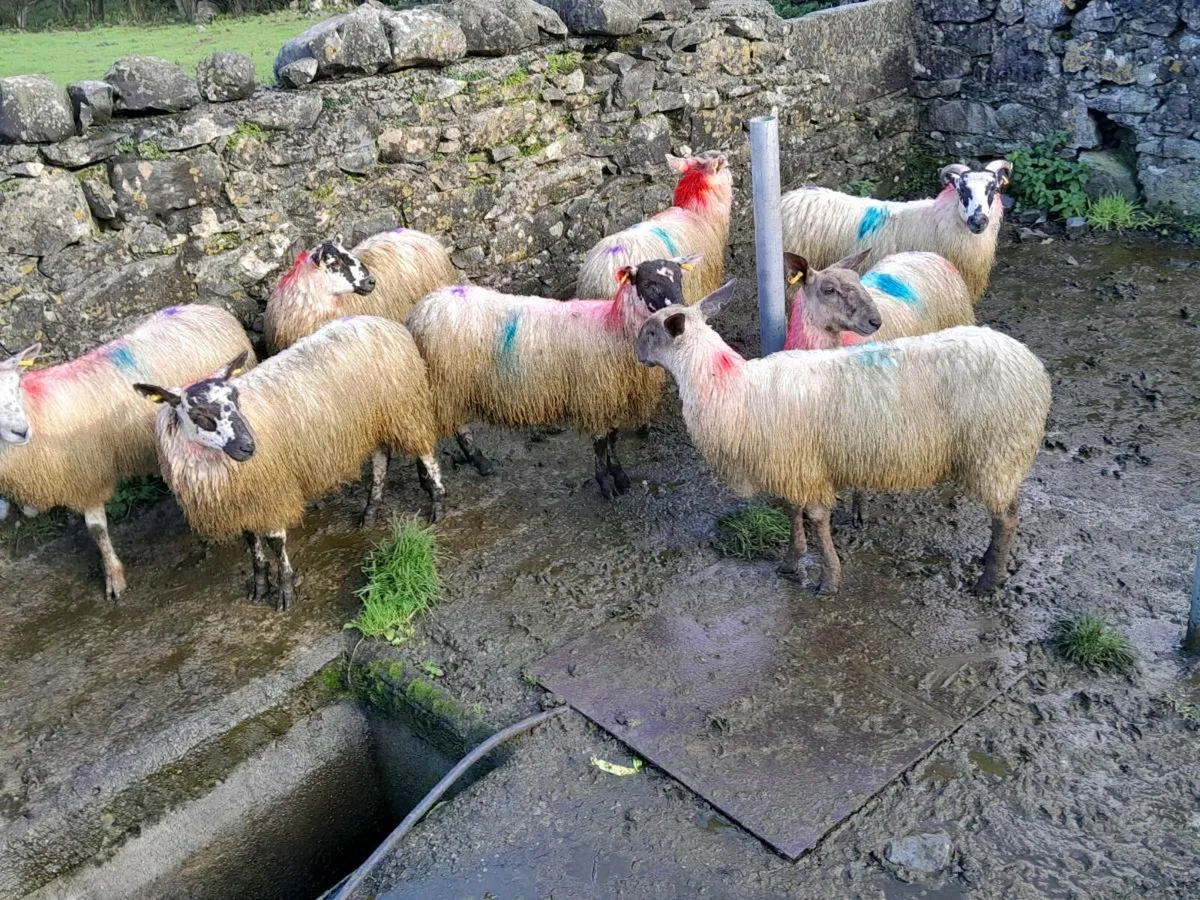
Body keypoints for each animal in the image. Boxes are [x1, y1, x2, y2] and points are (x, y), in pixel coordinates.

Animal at [0, 305, 257, 599]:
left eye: (16, 387)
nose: (20, 431)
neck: (36, 414)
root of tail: (202, 307)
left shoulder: (87, 473)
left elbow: (97, 529)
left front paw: (113, 577)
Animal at [134, 316, 444, 611]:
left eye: (235, 398)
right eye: (198, 413)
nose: (248, 446)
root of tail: (382, 321)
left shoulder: (272, 491)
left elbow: (275, 542)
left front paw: (285, 592)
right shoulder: (242, 499)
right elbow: (251, 541)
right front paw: (259, 585)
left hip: (405, 408)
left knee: (426, 452)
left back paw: (437, 503)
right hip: (377, 418)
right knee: (381, 459)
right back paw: (370, 511)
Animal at [406, 256, 696, 499]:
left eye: (679, 278)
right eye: (649, 283)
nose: (680, 317)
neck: (613, 329)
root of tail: (420, 310)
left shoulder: (612, 393)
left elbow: (612, 439)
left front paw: (620, 477)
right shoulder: (596, 393)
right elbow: (601, 443)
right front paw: (606, 483)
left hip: (453, 382)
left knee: (456, 425)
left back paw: (478, 463)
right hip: (442, 380)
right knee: (429, 427)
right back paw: (434, 481)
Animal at [635, 288, 1051, 596]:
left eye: (651, 332)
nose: (636, 354)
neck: (728, 384)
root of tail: (1033, 366)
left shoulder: (803, 466)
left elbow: (818, 519)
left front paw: (829, 578)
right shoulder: (791, 466)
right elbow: (793, 512)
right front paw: (792, 560)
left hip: (997, 451)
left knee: (1007, 517)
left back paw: (988, 581)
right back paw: (988, 561)